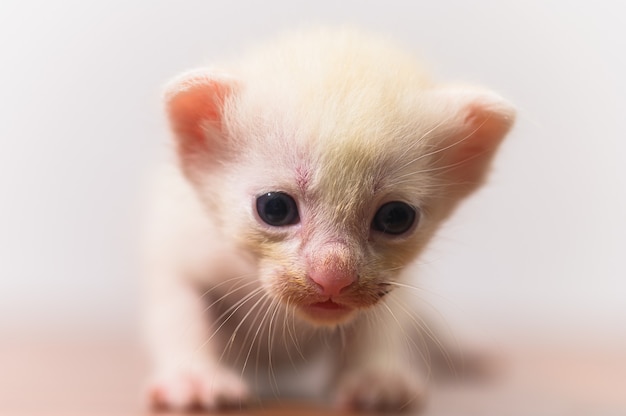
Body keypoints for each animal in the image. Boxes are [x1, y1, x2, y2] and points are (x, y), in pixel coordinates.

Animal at [141, 27, 512, 412]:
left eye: (396, 216)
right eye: (275, 208)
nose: (333, 277)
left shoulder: (397, 285)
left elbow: (379, 327)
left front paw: (376, 379)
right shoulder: (180, 245)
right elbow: (180, 314)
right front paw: (193, 379)